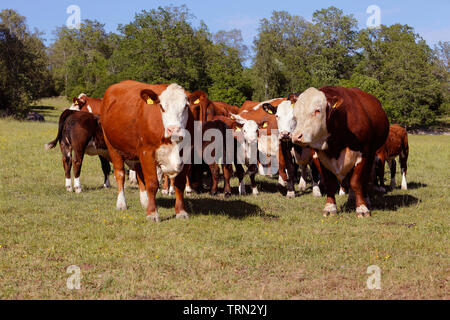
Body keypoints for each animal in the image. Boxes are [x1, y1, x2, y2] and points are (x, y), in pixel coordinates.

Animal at [292, 87, 390, 218]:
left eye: (317, 110)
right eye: (295, 113)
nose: (296, 136)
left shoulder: (363, 154)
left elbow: (356, 182)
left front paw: (362, 208)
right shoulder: (320, 156)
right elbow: (330, 183)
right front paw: (330, 207)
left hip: (371, 155)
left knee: (365, 179)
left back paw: (365, 199)